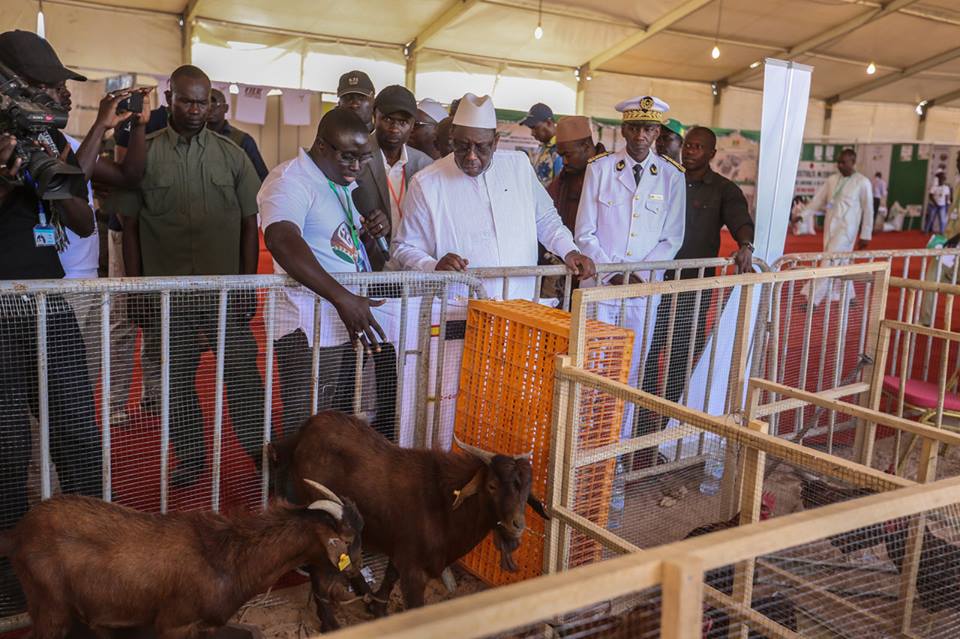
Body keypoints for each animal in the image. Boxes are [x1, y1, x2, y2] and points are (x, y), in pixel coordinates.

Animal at [0, 484, 360, 639]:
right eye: (348, 541)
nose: (357, 585)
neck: (227, 558)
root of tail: (17, 534)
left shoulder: (203, 626)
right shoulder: (174, 623)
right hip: (50, 607)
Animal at [274, 412, 552, 616]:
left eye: (526, 490)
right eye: (492, 486)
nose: (517, 525)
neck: (445, 506)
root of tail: (304, 431)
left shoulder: (401, 553)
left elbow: (389, 579)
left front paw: (377, 607)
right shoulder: (413, 570)